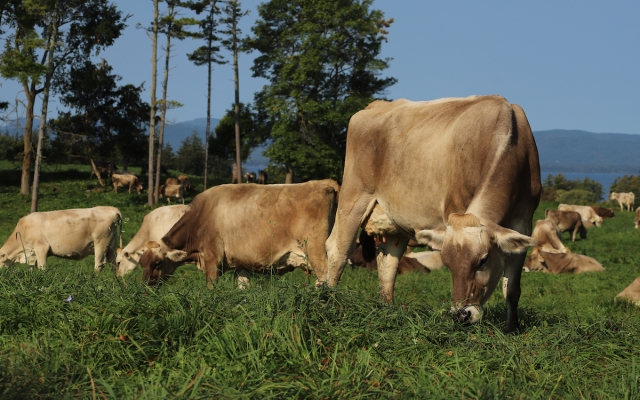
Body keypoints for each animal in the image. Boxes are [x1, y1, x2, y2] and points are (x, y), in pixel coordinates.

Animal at [139, 180, 340, 288]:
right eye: (141, 263)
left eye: (157, 263)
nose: (146, 286)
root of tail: (323, 183)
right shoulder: (240, 263)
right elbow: (244, 288)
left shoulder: (212, 258)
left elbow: (210, 288)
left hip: (316, 251)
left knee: (326, 277)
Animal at [324, 95, 540, 332]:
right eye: (447, 262)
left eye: (483, 260)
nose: (462, 315)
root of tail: (376, 105)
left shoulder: (524, 221)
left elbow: (512, 288)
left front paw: (511, 328)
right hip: (353, 197)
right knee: (337, 250)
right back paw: (326, 302)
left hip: (394, 224)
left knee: (387, 263)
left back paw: (387, 311)